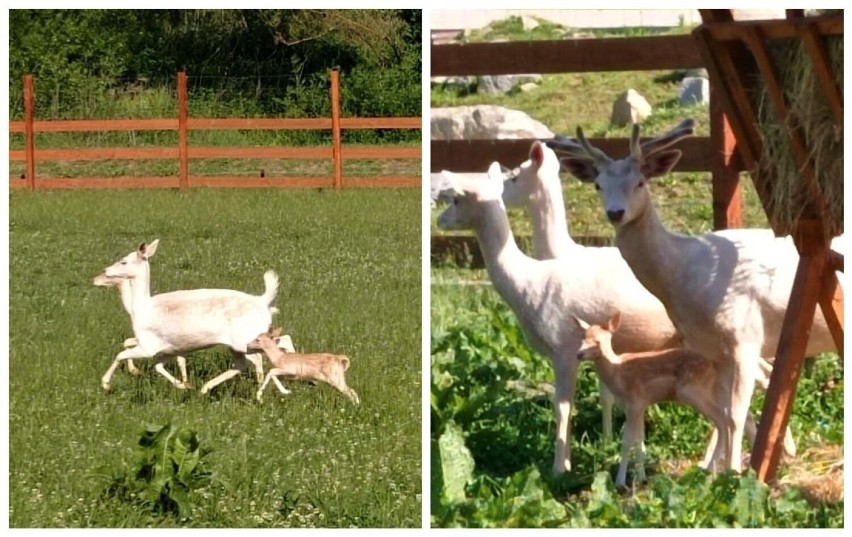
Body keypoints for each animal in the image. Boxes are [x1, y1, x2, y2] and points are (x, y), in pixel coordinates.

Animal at [99, 240, 276, 394]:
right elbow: (159, 366)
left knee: (259, 357)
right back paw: (205, 388)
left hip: (247, 341)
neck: (141, 308)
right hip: (237, 346)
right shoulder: (169, 349)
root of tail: (262, 301)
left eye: (123, 262)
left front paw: (106, 384)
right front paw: (184, 385)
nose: (106, 270)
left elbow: (120, 355)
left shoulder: (148, 346)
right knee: (241, 364)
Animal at [552, 118, 840, 468]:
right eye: (597, 185)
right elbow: (726, 415)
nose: (616, 213)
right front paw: (718, 470)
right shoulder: (715, 350)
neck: (684, 286)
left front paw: (735, 474)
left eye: (640, 182)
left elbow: (736, 415)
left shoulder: (745, 339)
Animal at [576, 310, 796, 490]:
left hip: (692, 391)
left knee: (724, 419)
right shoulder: (639, 405)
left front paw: (621, 482)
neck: (617, 373)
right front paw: (640, 477)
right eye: (583, 338)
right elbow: (638, 440)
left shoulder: (635, 402)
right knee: (731, 418)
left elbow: (627, 441)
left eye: (598, 341)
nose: (579, 354)